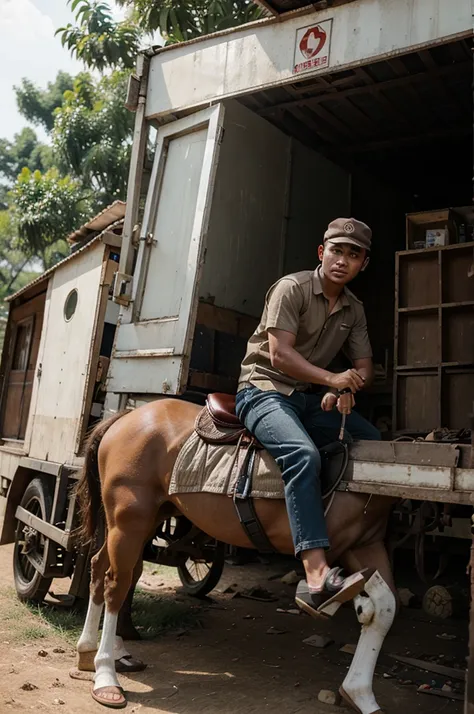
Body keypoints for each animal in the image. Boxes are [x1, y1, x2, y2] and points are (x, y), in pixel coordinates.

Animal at [72, 400, 394, 708]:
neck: (364, 470)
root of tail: (125, 418)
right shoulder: (340, 549)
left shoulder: (365, 546)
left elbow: (384, 609)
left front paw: (361, 695)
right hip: (129, 521)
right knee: (116, 583)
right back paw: (106, 676)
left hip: (146, 519)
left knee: (99, 568)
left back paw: (90, 651)